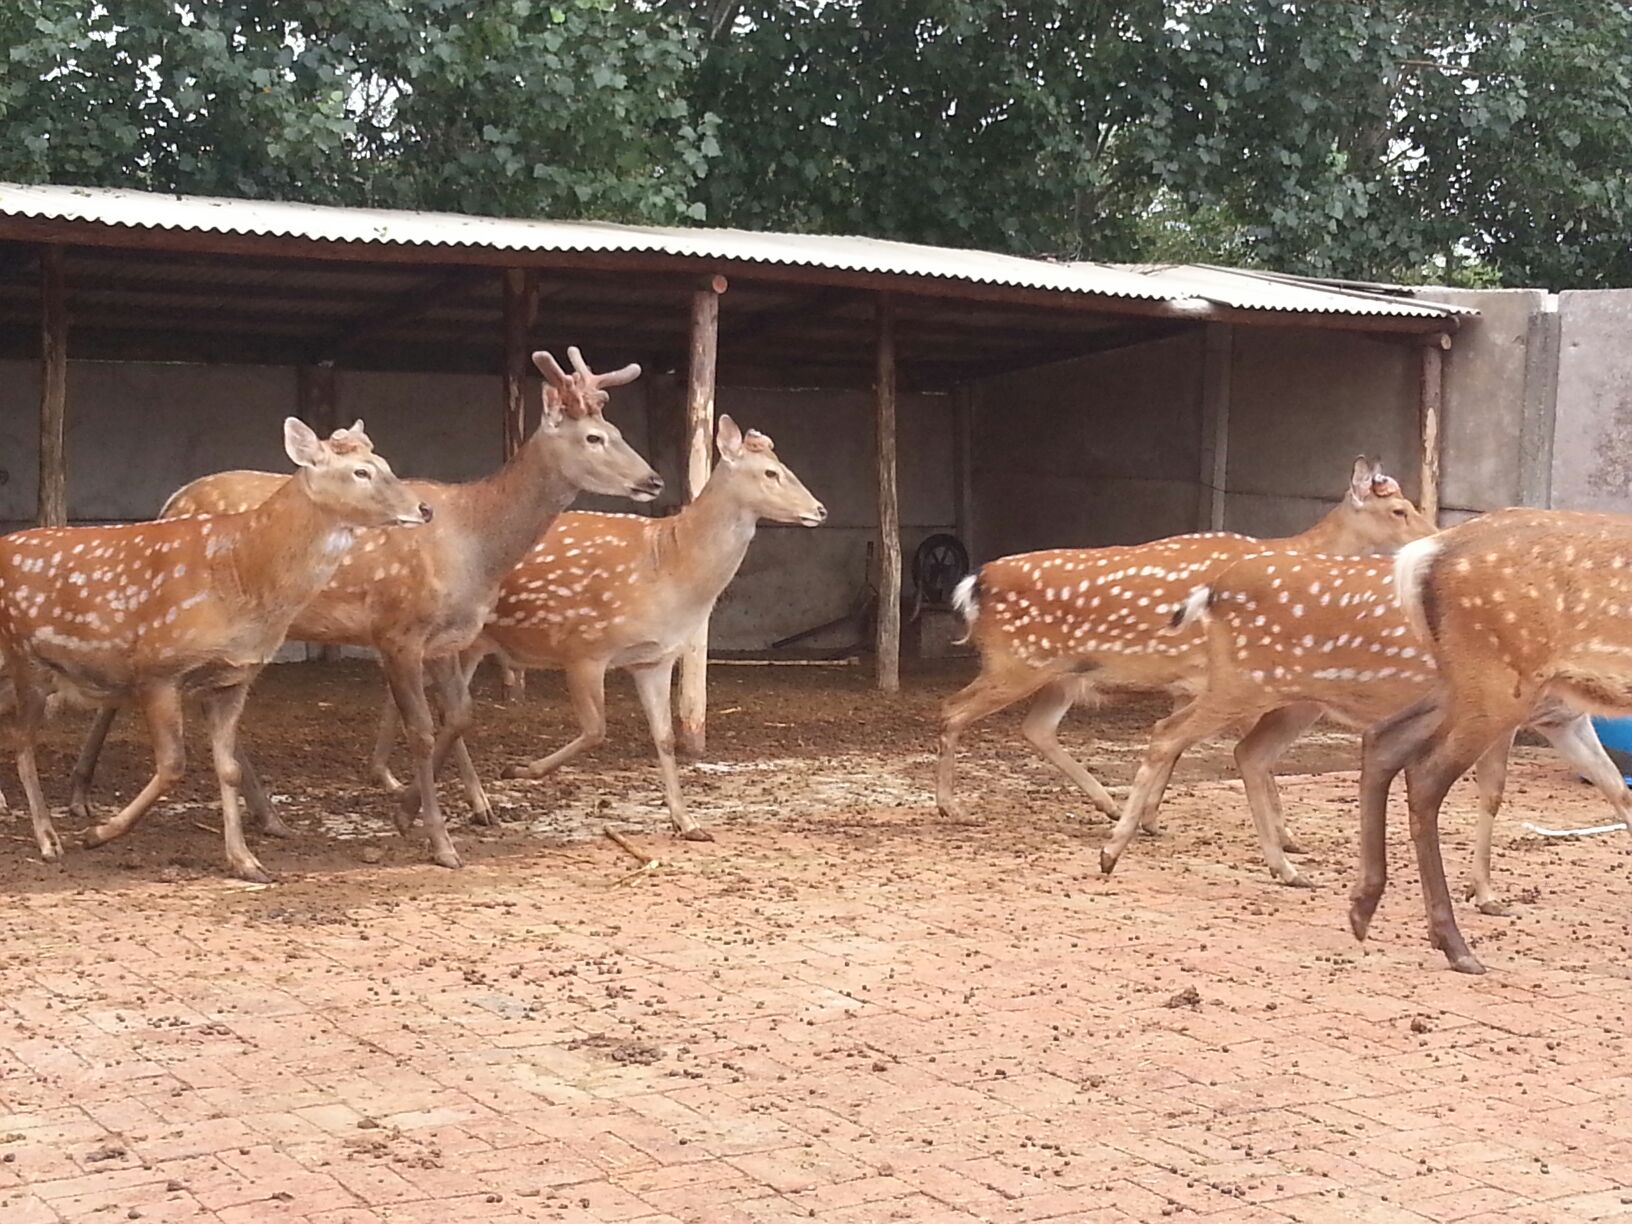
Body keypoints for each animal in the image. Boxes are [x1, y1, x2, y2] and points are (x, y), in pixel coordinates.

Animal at [0, 421, 434, 881]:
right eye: (360, 471)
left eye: (383, 462)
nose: (424, 508)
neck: (241, 581)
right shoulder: (158, 668)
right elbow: (173, 764)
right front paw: (99, 833)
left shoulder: (232, 678)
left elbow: (227, 769)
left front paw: (245, 860)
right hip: (27, 658)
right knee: (21, 739)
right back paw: (48, 839)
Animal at [63, 345, 662, 874]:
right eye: (594, 436)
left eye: (621, 432)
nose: (652, 479)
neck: (474, 545)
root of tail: (170, 501)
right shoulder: (398, 629)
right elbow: (422, 729)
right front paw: (437, 839)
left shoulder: (446, 638)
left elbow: (461, 717)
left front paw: (422, 811)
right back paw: (83, 798)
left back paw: (266, 816)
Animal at [940, 456, 1436, 825]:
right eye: (1399, 510)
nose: (1433, 538)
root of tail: (975, 583)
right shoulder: (1231, 677)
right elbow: (1244, 753)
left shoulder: (1191, 681)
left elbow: (1176, 745)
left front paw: (1149, 818)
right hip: (1014, 661)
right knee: (953, 711)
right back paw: (953, 808)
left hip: (1063, 673)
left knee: (1037, 728)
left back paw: (1108, 804)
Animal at [1351, 509, 1632, 979]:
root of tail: (1424, 553)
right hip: (1497, 679)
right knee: (1425, 776)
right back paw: (1455, 945)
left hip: (1470, 682)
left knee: (1383, 737)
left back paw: (1363, 906)